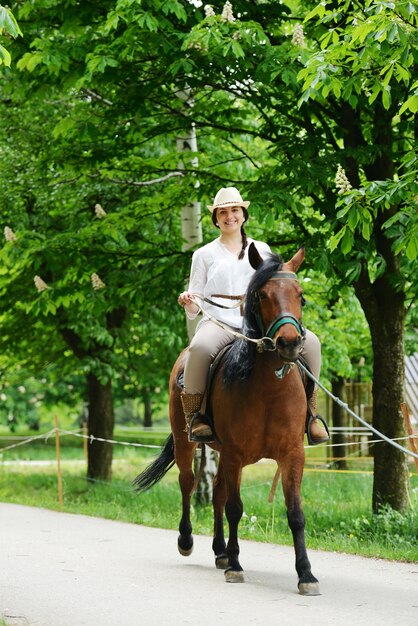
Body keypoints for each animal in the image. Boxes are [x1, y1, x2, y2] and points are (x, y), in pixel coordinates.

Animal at [134, 244, 320, 596]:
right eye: (262, 295)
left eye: (300, 296)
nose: (289, 342)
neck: (268, 387)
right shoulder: (235, 452)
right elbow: (235, 508)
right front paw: (235, 566)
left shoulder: (292, 455)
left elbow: (296, 513)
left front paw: (306, 574)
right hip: (188, 443)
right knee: (188, 482)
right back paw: (188, 540)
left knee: (217, 489)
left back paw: (220, 550)